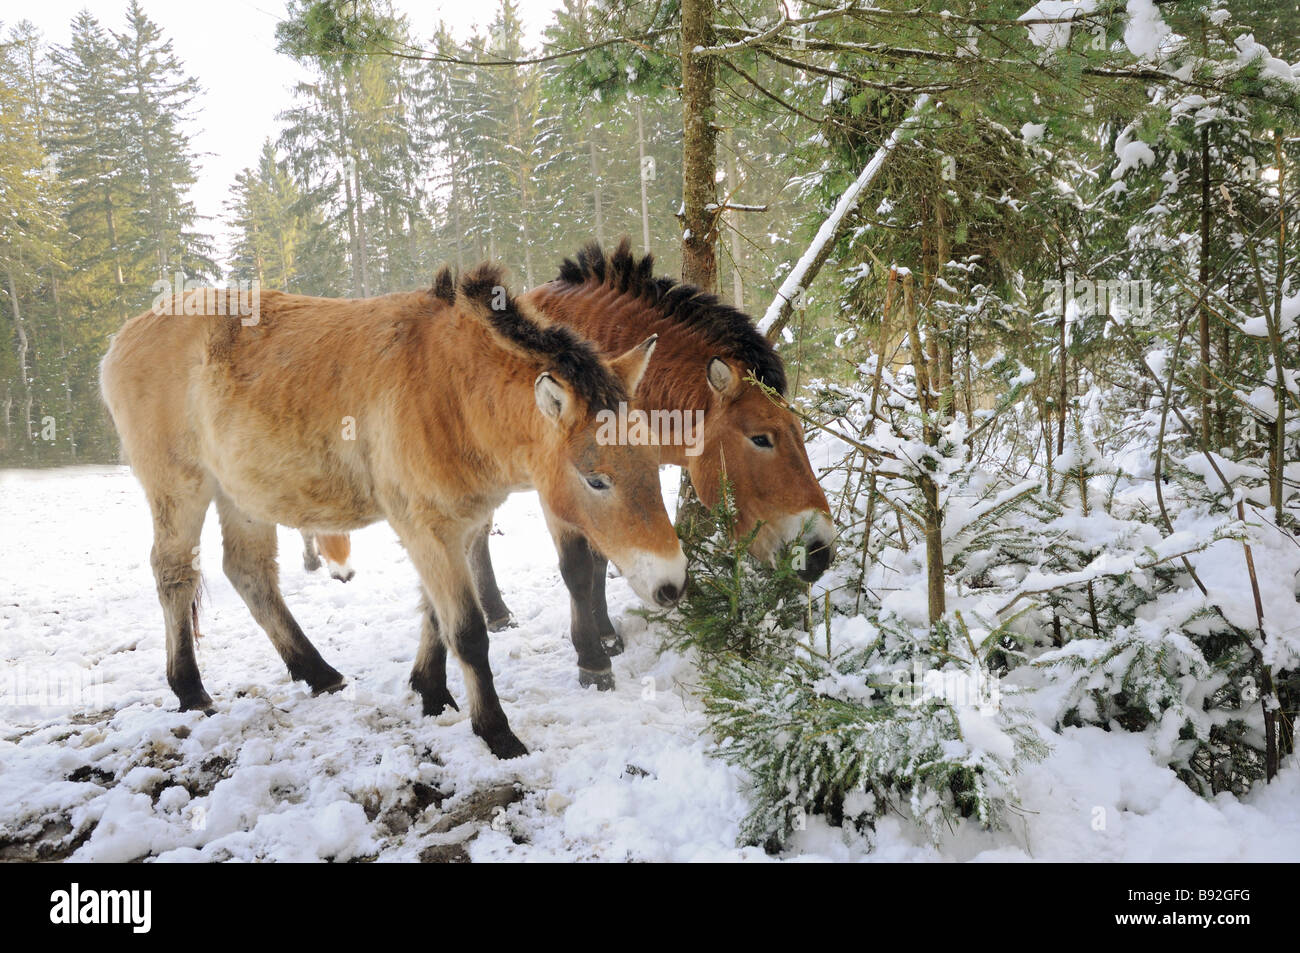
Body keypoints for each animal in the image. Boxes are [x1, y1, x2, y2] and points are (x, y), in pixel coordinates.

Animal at [100, 260, 686, 759]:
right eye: (596, 479)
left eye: (653, 462)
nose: (672, 585)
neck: (450, 392)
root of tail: (121, 339)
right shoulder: (427, 526)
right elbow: (467, 631)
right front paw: (496, 733)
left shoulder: (454, 527)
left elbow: (435, 615)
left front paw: (431, 693)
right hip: (180, 488)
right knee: (174, 573)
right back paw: (191, 689)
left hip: (242, 497)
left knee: (249, 573)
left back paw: (318, 672)